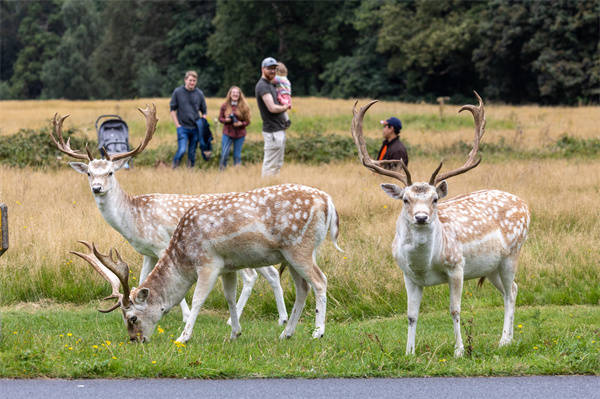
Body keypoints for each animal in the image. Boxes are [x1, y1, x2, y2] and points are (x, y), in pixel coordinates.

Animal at [49, 104, 288, 326]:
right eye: (89, 173)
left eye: (110, 172)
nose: (97, 188)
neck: (134, 220)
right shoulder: (147, 251)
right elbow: (143, 278)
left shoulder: (161, 244)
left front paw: (184, 316)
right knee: (269, 274)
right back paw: (277, 318)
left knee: (254, 275)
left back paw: (246, 319)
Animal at [71, 184, 342, 344]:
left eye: (133, 318)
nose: (135, 340)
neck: (184, 256)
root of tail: (328, 201)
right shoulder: (228, 267)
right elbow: (230, 297)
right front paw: (235, 332)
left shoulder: (208, 263)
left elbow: (198, 299)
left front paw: (183, 337)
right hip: (291, 255)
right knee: (302, 288)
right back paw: (287, 332)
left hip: (300, 248)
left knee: (320, 281)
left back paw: (317, 332)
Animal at [352, 92, 528, 358]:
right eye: (406, 199)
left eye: (435, 199)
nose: (421, 217)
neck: (425, 264)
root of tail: (525, 204)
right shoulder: (408, 275)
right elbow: (411, 315)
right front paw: (409, 353)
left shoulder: (457, 266)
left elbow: (455, 309)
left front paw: (459, 351)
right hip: (490, 266)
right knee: (514, 289)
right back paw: (508, 339)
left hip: (512, 254)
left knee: (510, 293)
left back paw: (504, 342)